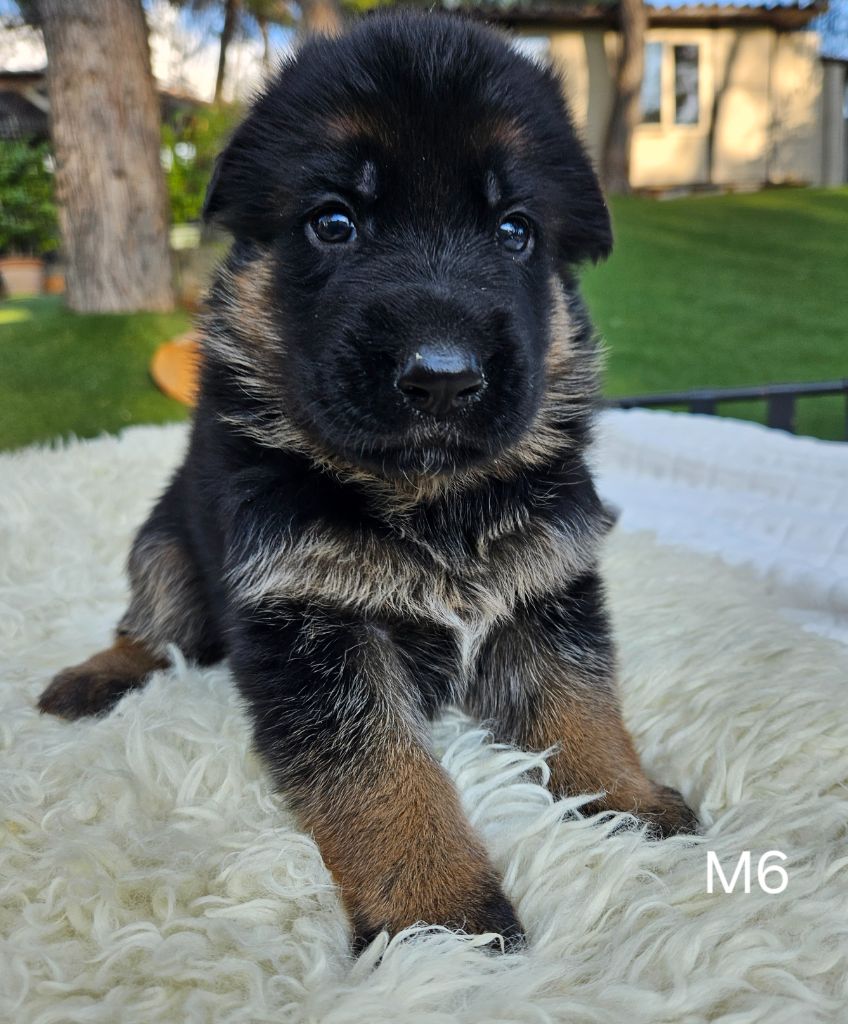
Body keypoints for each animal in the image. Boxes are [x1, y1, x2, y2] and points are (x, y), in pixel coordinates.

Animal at [38, 9, 696, 950]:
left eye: (515, 231)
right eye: (335, 222)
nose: (444, 378)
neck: (430, 501)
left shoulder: (546, 584)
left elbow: (584, 703)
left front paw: (630, 799)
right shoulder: (310, 624)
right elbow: (382, 772)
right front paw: (439, 914)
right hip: (165, 541)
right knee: (150, 627)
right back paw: (97, 676)